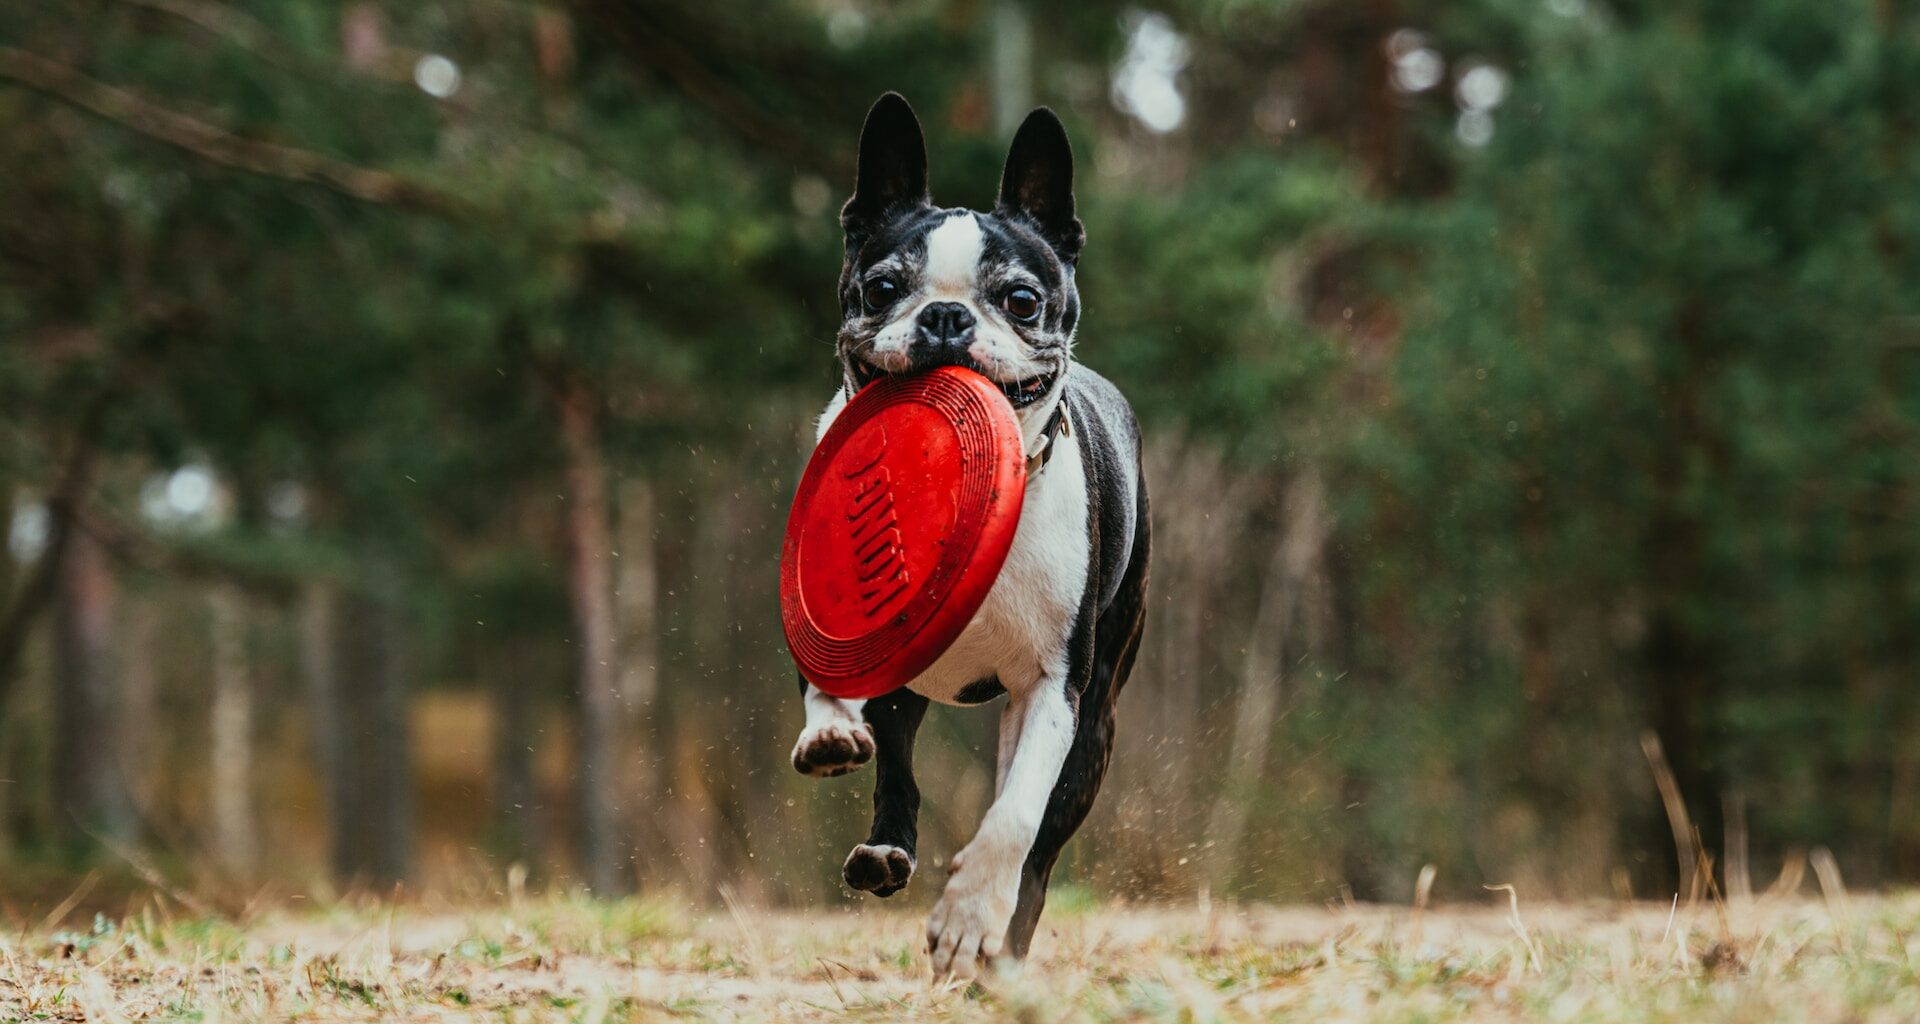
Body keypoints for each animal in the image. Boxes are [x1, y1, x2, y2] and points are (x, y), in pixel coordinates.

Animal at [787, 97, 1144, 983]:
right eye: (882, 288)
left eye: (1019, 300)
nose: (945, 318)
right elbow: (826, 680)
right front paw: (828, 729)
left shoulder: (1056, 688)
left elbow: (1014, 816)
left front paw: (968, 918)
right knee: (899, 770)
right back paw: (883, 850)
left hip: (1096, 725)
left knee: (1040, 847)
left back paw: (1001, 950)